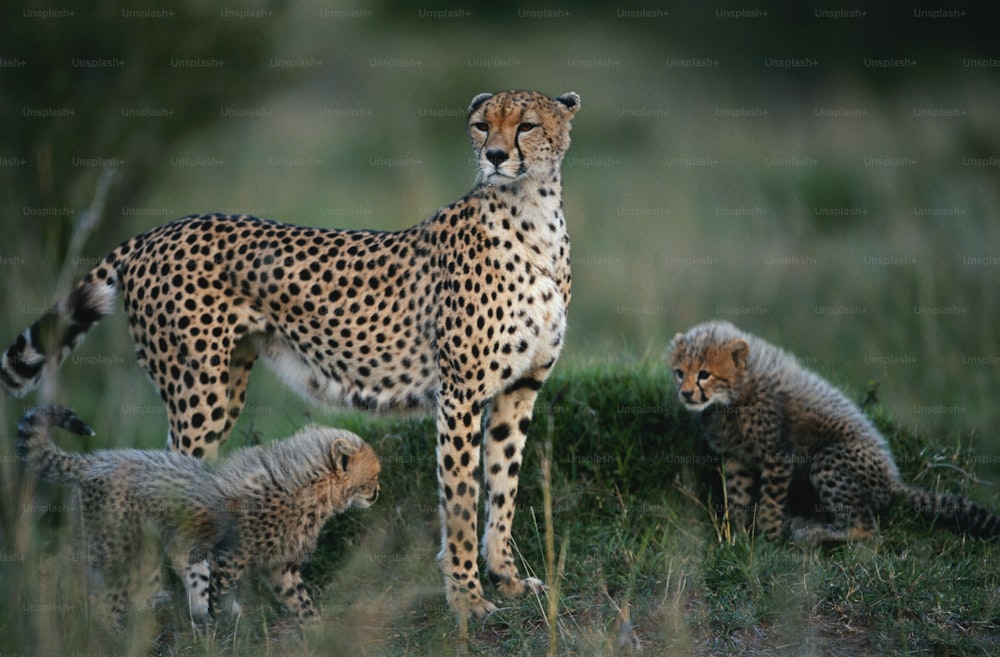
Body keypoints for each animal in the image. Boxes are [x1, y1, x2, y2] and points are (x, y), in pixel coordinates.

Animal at [1, 88, 580, 620]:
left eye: (527, 125)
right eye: (482, 125)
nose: (496, 156)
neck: (530, 214)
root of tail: (156, 232)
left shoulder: (519, 391)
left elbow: (502, 487)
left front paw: (506, 579)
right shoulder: (458, 396)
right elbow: (460, 501)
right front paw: (467, 600)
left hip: (225, 384)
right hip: (199, 392)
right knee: (177, 487)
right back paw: (205, 609)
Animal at [668, 322, 1000, 544]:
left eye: (704, 374)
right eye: (679, 373)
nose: (686, 394)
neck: (733, 396)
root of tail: (894, 480)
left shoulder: (778, 456)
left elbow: (771, 502)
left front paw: (768, 539)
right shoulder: (737, 456)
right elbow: (738, 497)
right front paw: (737, 536)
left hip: (830, 459)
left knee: (866, 528)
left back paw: (813, 532)